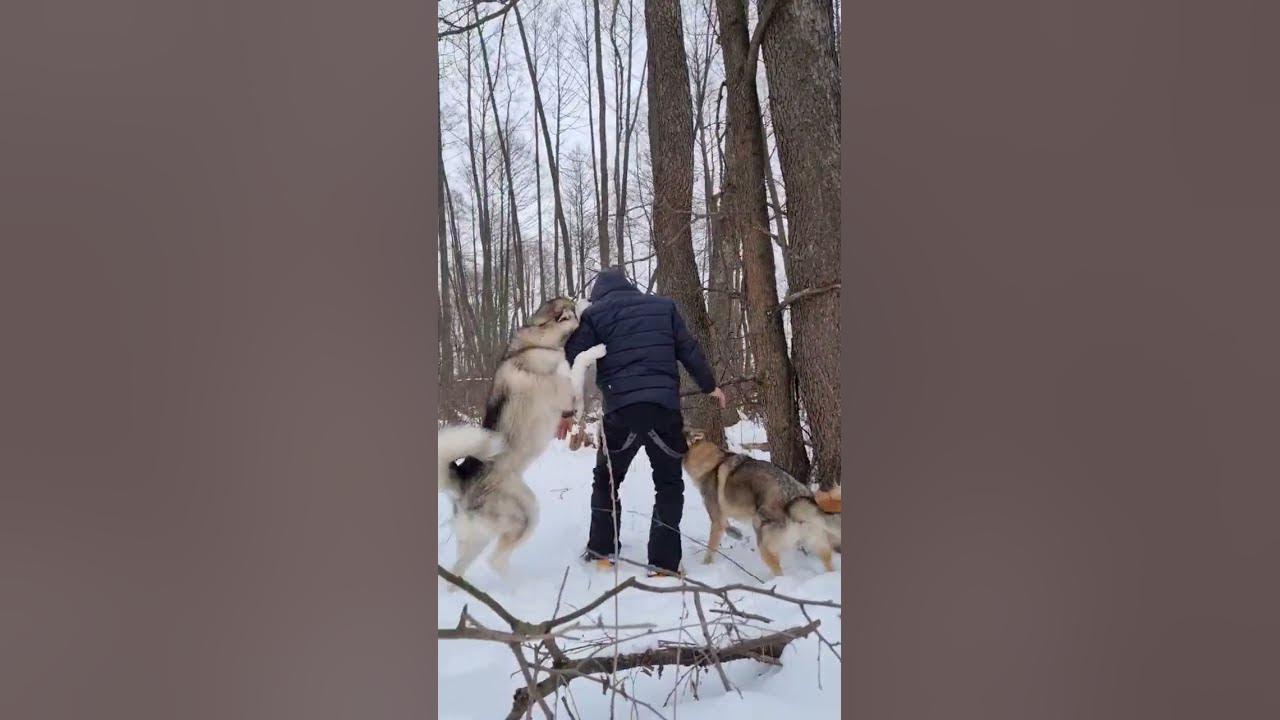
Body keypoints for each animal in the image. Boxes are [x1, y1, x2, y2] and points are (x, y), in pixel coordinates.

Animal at [435, 295, 604, 584]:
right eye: (573, 303)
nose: (587, 298)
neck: (539, 342)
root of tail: (463, 481)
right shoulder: (565, 391)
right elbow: (579, 361)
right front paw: (596, 350)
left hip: (480, 537)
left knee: (462, 570)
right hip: (526, 513)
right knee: (495, 560)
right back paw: (513, 584)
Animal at [680, 427, 839, 573]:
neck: (712, 463)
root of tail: (794, 500)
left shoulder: (716, 519)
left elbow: (710, 549)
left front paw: (705, 566)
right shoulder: (721, 517)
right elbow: (728, 527)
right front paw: (736, 534)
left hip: (761, 536)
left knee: (779, 573)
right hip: (819, 545)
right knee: (829, 565)